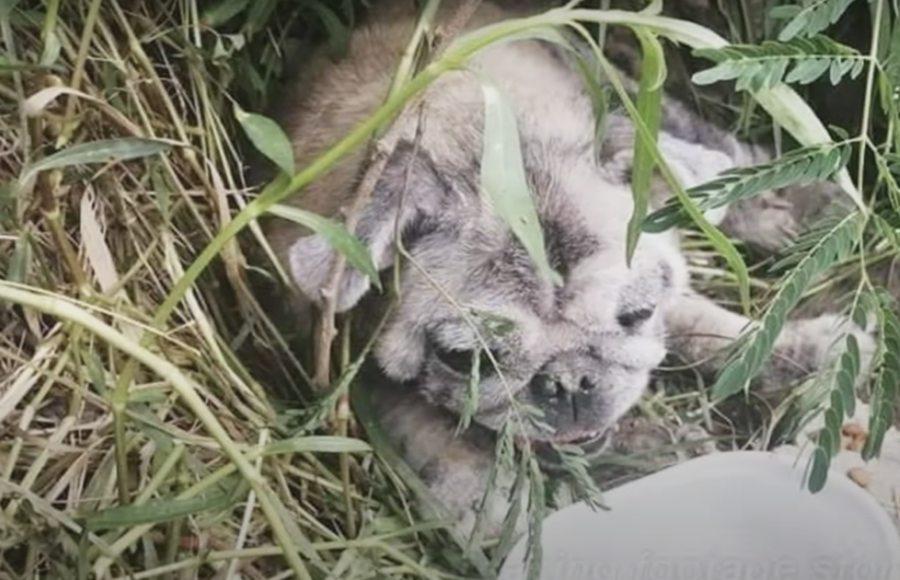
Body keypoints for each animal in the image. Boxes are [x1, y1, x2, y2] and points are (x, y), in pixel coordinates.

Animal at [256, 1, 876, 540]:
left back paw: (807, 202)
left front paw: (801, 355)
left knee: (723, 157)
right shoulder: (367, 377)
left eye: (637, 313)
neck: (485, 141)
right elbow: (440, 446)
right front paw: (493, 513)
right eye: (466, 360)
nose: (569, 381)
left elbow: (713, 330)